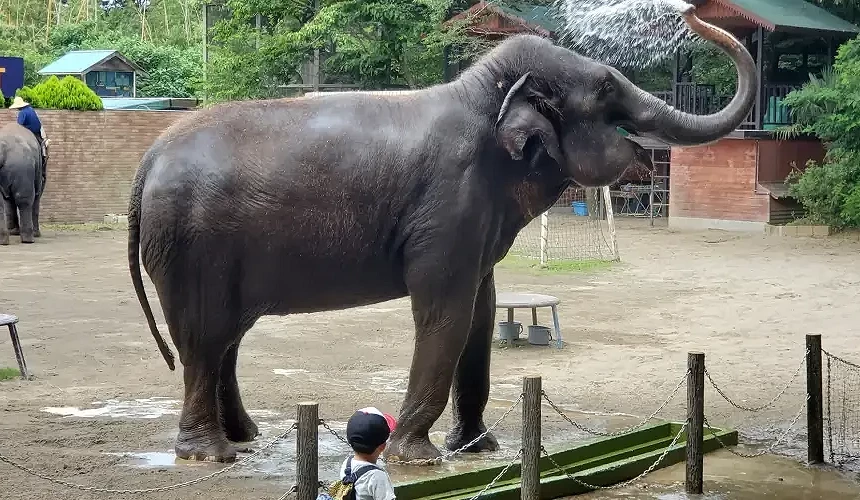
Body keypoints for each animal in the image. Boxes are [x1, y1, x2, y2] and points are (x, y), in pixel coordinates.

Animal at [128, 6, 756, 463]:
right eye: (604, 89)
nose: (690, 13)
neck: (483, 93)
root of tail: (149, 159)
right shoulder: (448, 203)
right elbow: (444, 310)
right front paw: (421, 458)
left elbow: (482, 309)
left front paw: (479, 448)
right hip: (190, 241)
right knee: (205, 336)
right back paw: (210, 455)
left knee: (226, 336)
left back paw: (246, 437)